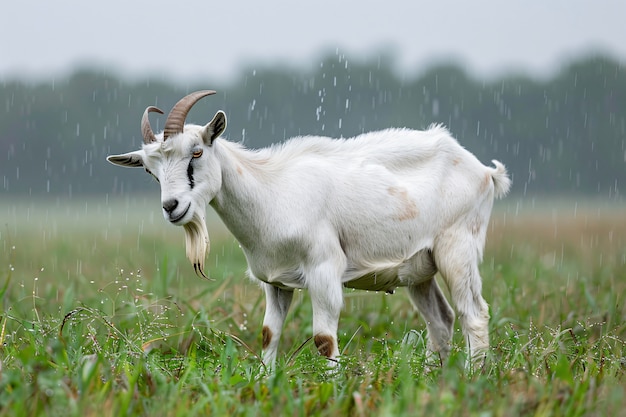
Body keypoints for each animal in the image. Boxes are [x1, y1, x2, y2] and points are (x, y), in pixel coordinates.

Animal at [106, 90, 508, 364]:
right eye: (150, 170)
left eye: (196, 152)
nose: (172, 207)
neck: (271, 191)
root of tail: (484, 172)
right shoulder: (275, 282)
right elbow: (268, 334)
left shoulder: (324, 269)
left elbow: (323, 339)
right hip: (420, 267)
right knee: (441, 320)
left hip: (458, 249)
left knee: (474, 315)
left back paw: (472, 378)